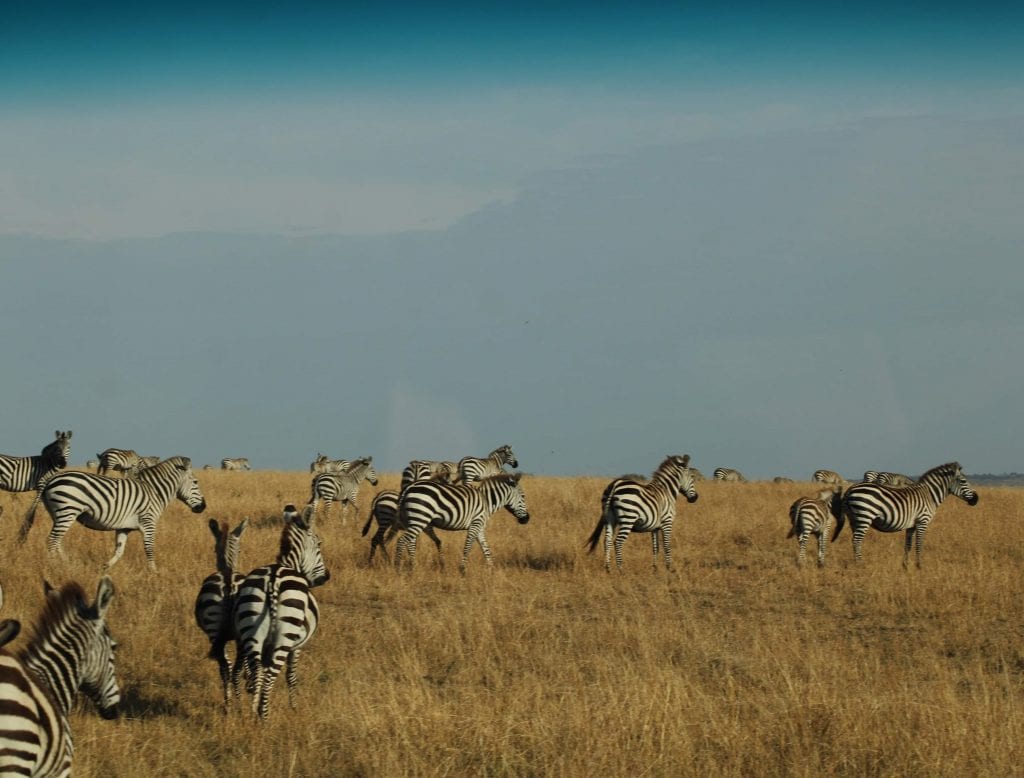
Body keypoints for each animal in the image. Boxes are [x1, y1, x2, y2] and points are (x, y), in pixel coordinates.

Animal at [19, 456, 208, 571]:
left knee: (57, 541)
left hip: (58, 514)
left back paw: (68, 565)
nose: (203, 507)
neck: (154, 491)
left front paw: (105, 568)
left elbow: (119, 550)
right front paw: (154, 572)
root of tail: (51, 479)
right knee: (52, 540)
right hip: (67, 511)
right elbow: (149, 548)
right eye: (196, 482)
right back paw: (54, 567)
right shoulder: (148, 523)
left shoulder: (124, 527)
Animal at [195, 517, 250, 708]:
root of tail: (227, 581)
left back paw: (229, 704)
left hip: (215, 633)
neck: (227, 568)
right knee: (232, 670)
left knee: (225, 668)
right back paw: (238, 706)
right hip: (236, 636)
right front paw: (249, 680)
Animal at [233, 504, 330, 720]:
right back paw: (264, 717)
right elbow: (291, 677)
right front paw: (294, 708)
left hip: (252, 629)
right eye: (319, 544)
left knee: (258, 671)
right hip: (285, 637)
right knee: (270, 675)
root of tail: (273, 579)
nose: (326, 577)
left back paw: (255, 712)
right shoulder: (297, 645)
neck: (288, 563)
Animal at [394, 472, 530, 571]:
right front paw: (462, 570)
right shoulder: (475, 524)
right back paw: (398, 568)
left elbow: (486, 549)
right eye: (523, 496)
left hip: (414, 520)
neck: (487, 501)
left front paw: (491, 569)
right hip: (420, 519)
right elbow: (467, 546)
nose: (527, 519)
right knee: (401, 541)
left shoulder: (480, 527)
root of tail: (409, 487)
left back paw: (413, 568)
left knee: (410, 543)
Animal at [833, 461, 979, 567]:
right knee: (857, 540)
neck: (930, 495)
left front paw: (906, 565)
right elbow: (919, 543)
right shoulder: (922, 521)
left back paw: (856, 561)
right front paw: (919, 565)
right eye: (963, 481)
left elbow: (908, 545)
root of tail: (850, 489)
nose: (976, 500)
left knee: (855, 540)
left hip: (854, 519)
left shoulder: (912, 525)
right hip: (864, 516)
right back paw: (860, 564)